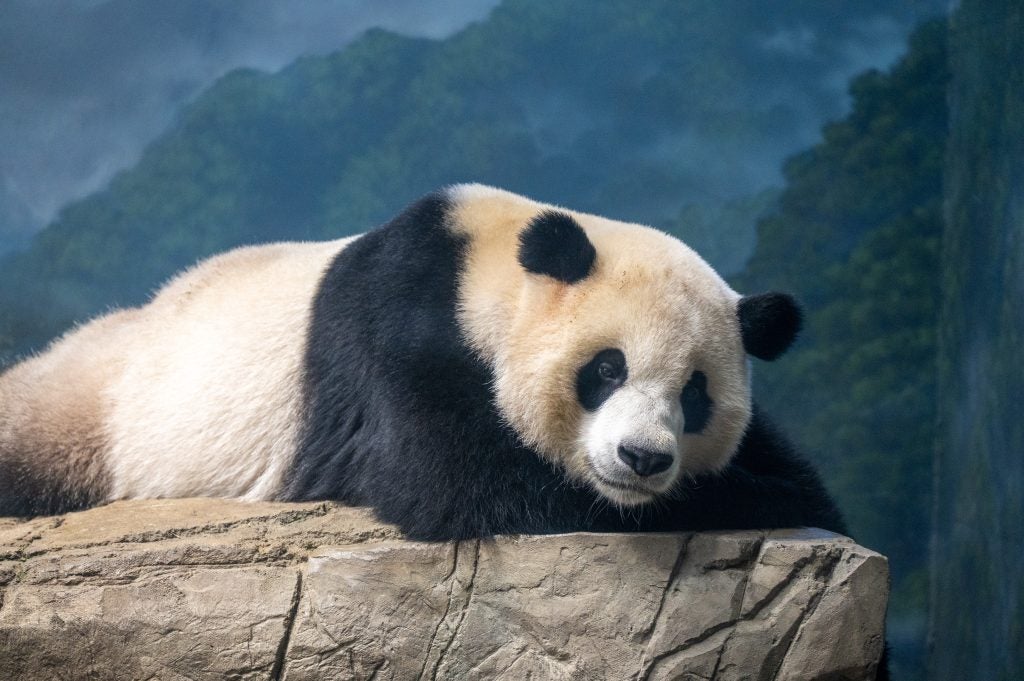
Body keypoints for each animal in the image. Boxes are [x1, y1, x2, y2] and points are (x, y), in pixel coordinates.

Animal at [2, 182, 847, 540]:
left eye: (695, 393)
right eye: (606, 369)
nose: (642, 458)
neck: (488, 271)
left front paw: (789, 492)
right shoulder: (399, 338)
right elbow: (462, 484)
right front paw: (753, 500)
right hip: (95, 412)